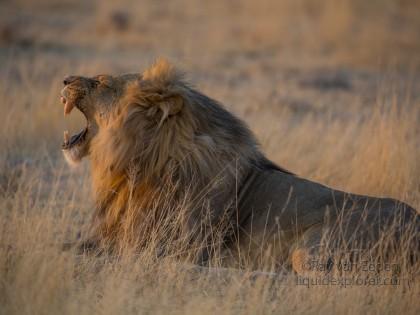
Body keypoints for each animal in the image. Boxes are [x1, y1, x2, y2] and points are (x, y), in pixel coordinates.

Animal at [60, 58, 418, 274]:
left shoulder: (163, 246)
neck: (136, 164)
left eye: (101, 82)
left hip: (312, 249)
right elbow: (69, 244)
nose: (64, 79)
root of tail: (415, 225)